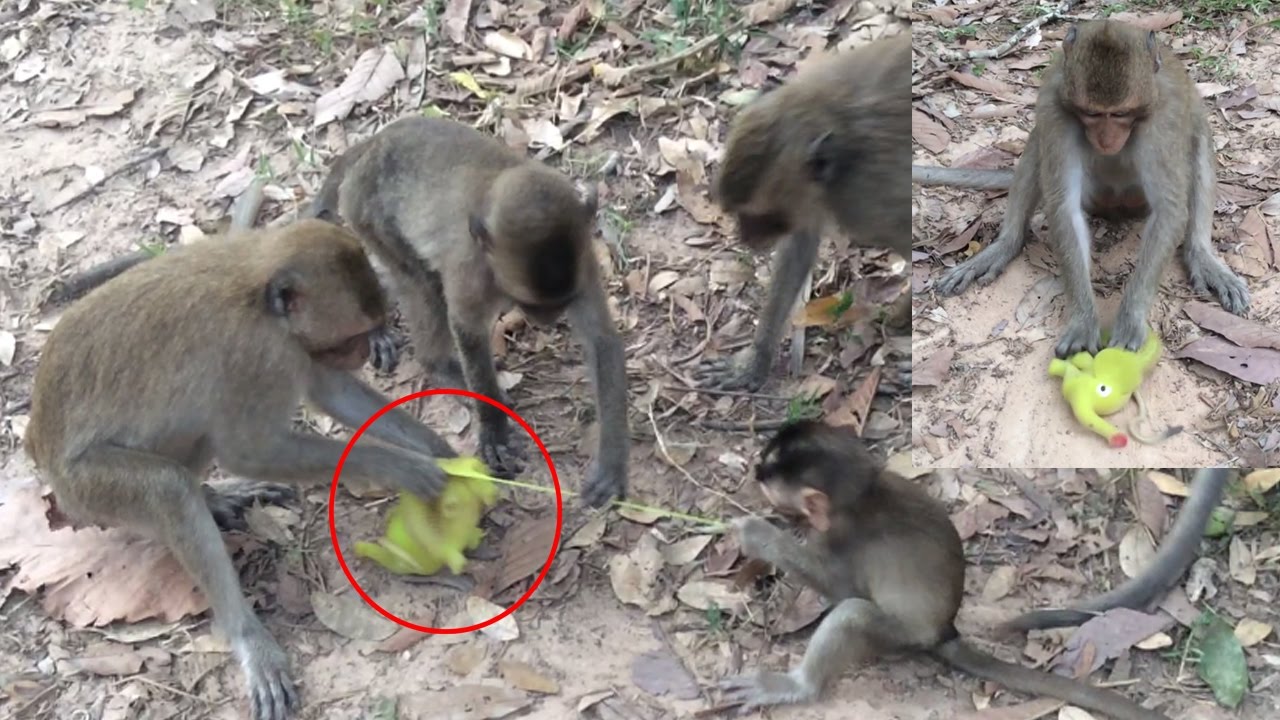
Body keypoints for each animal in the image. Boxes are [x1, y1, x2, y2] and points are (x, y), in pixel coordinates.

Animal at [25, 219, 459, 720]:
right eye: (352, 334)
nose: (361, 352)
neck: (258, 287)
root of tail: (38, 446)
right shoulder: (259, 355)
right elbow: (250, 450)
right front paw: (404, 467)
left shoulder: (293, 348)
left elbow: (329, 391)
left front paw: (440, 450)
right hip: (85, 487)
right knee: (167, 488)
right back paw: (247, 635)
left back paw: (215, 498)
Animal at [306, 115, 629, 508]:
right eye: (534, 306)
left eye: (560, 304)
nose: (546, 321)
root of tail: (374, 143)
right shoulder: (471, 268)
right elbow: (467, 329)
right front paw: (494, 428)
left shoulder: (582, 264)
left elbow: (601, 340)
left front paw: (612, 462)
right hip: (365, 211)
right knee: (422, 283)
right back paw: (438, 366)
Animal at [693, 33, 910, 392]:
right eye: (739, 214)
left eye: (763, 217)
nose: (745, 239)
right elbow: (798, 247)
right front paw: (754, 361)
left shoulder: (866, 202)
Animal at [718, 421, 1171, 720]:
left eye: (770, 484)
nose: (755, 473)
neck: (864, 494)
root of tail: (944, 630)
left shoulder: (844, 539)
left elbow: (843, 588)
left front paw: (759, 535)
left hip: (900, 636)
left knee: (854, 614)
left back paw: (799, 685)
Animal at [914, 20, 1249, 359]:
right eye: (1091, 113)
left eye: (1120, 114)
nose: (1106, 140)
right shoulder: (1055, 108)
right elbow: (1065, 207)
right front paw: (1083, 320)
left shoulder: (1162, 118)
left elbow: (1168, 207)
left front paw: (1131, 317)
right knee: (1038, 143)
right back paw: (1006, 244)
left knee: (1198, 136)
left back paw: (1201, 254)